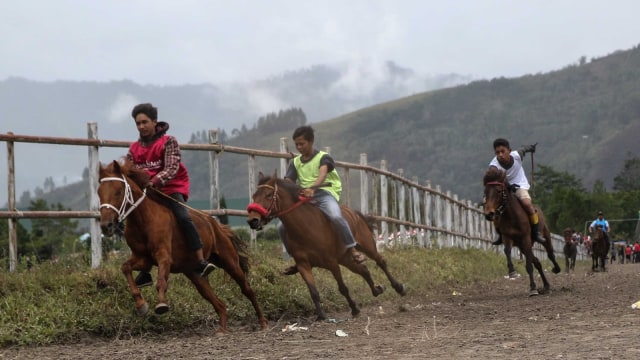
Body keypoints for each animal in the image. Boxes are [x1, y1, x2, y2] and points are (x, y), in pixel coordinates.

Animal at [97, 160, 268, 334]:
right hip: (195, 275)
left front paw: (161, 304)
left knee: (247, 289)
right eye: (99, 192)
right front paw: (141, 305)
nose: (106, 225)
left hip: (229, 262)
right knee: (218, 303)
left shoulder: (164, 256)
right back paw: (221, 329)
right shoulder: (142, 258)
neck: (144, 220)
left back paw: (263, 322)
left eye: (118, 191)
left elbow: (161, 280)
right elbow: (125, 268)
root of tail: (216, 225)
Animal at [245, 172, 404, 320]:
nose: (253, 221)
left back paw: (399, 288)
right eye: (254, 195)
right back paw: (377, 290)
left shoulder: (332, 263)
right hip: (345, 258)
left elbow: (342, 288)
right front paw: (321, 315)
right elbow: (313, 292)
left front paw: (354, 309)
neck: (306, 227)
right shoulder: (303, 265)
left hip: (367, 246)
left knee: (380, 261)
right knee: (363, 269)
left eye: (268, 195)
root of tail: (356, 214)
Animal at [482, 167, 556, 296]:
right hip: (522, 246)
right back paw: (546, 285)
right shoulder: (507, 237)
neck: (511, 215)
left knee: (550, 253)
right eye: (485, 191)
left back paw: (557, 269)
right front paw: (512, 271)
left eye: (498, 191)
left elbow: (529, 266)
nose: (489, 214)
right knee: (537, 262)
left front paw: (533, 288)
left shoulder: (525, 238)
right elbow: (507, 251)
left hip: (544, 235)